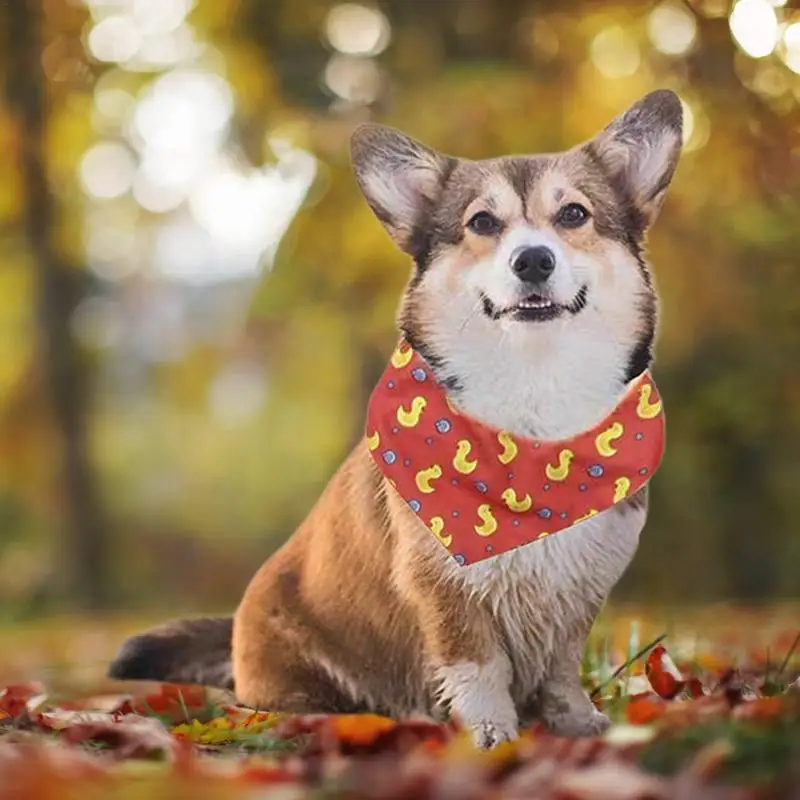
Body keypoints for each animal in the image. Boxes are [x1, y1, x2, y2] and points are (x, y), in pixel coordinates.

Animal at [108, 90, 680, 748]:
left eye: (574, 215)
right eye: (482, 223)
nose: (533, 260)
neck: (534, 405)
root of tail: (233, 637)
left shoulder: (579, 589)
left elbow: (561, 667)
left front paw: (576, 721)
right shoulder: (443, 589)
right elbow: (479, 665)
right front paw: (490, 733)